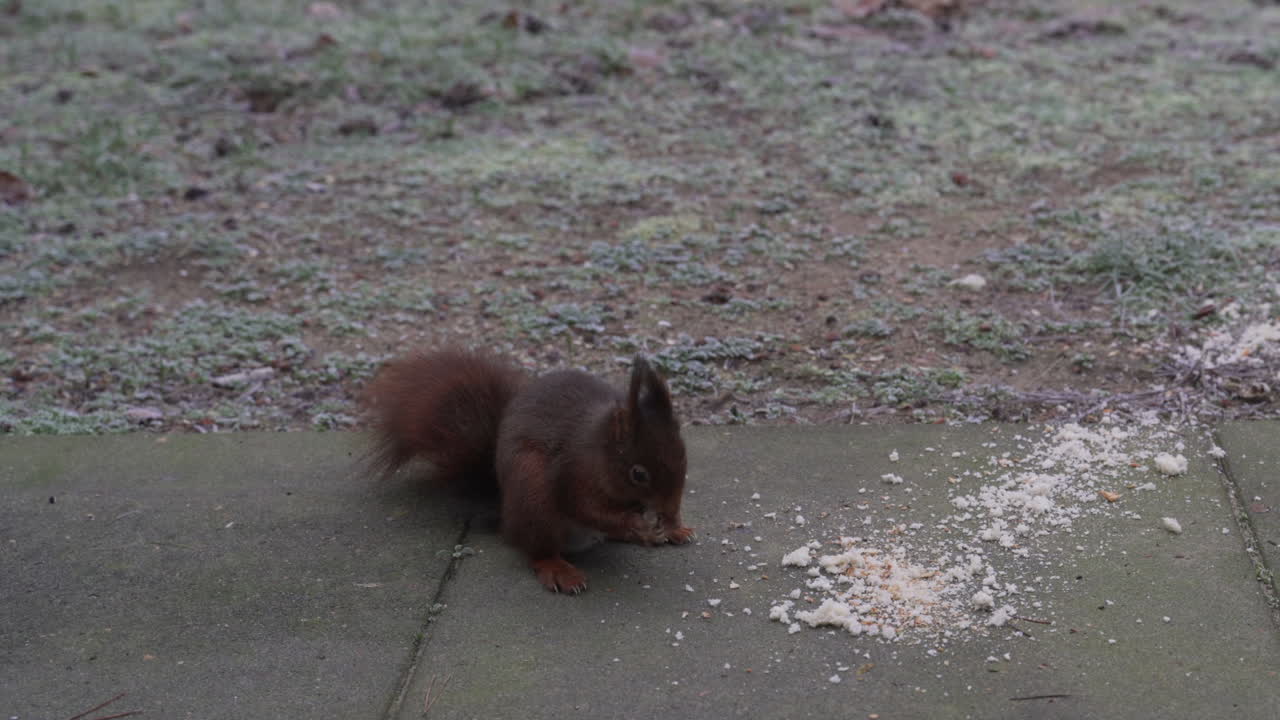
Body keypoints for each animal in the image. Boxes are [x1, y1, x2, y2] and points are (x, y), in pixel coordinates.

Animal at [361, 349, 694, 594]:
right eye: (638, 474)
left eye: (684, 455)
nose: (669, 512)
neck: (599, 452)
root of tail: (505, 515)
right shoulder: (573, 474)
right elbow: (585, 507)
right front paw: (637, 524)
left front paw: (673, 525)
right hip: (532, 496)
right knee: (537, 549)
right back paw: (559, 569)